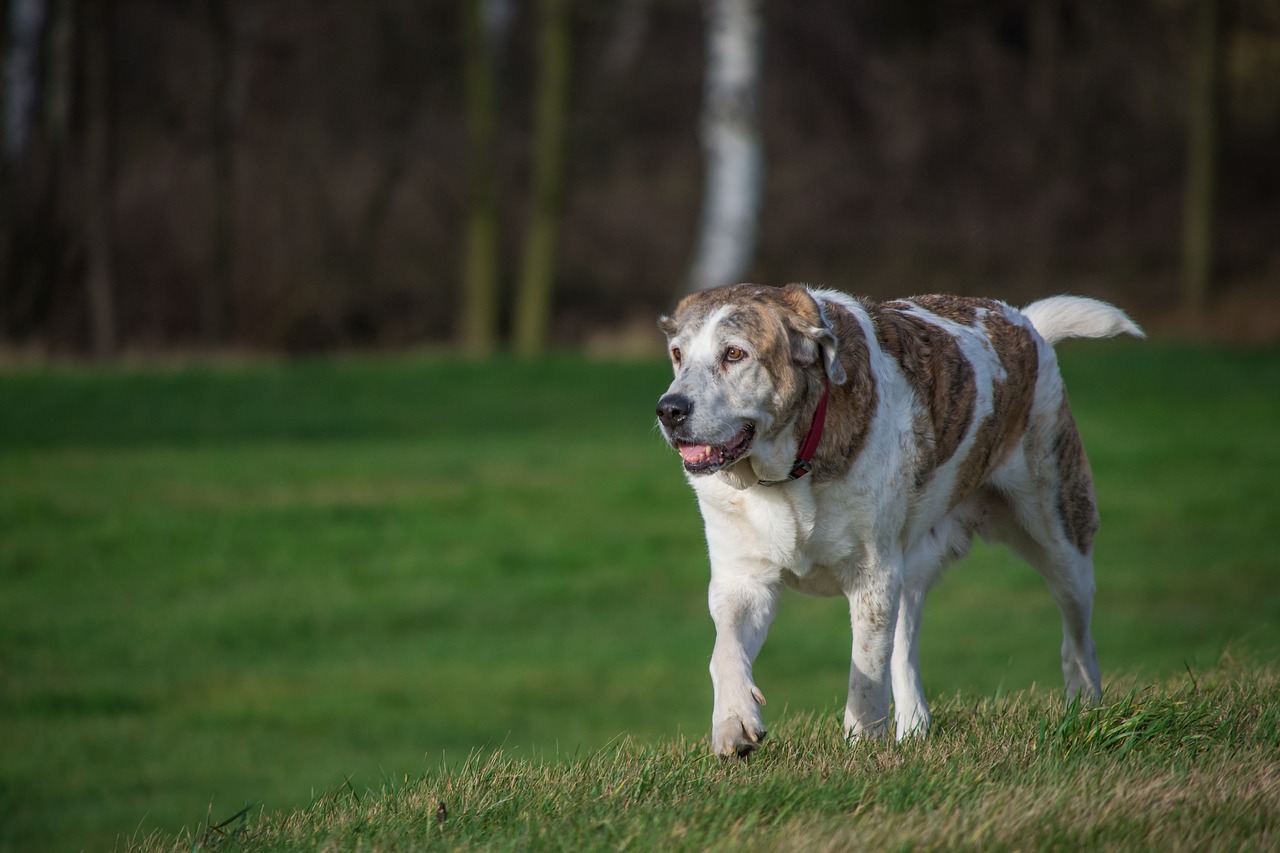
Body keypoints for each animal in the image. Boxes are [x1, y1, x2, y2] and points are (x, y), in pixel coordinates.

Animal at [655, 281, 1146, 753]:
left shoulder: (873, 574)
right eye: (678, 355)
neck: (790, 471)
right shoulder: (742, 579)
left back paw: (1086, 705)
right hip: (913, 565)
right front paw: (735, 722)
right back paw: (913, 728)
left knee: (1077, 633)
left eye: (734, 354)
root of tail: (1026, 324)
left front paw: (862, 743)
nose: (670, 409)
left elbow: (866, 667)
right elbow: (726, 651)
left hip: (1060, 529)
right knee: (904, 646)